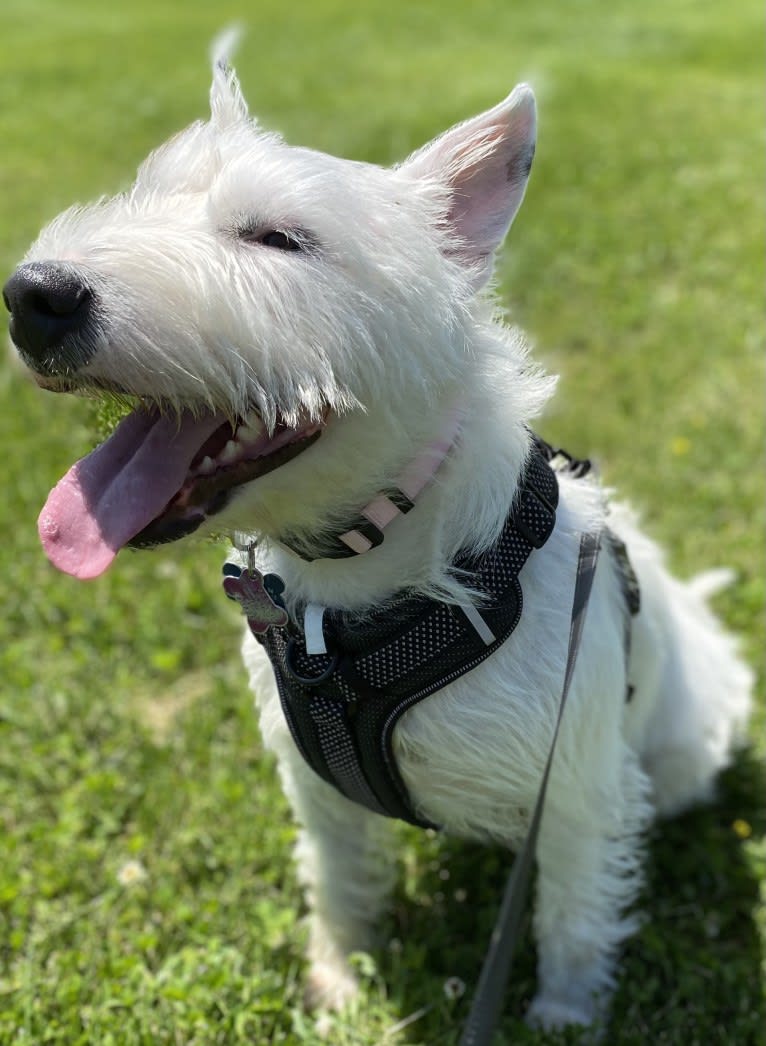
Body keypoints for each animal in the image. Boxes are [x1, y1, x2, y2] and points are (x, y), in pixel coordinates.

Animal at [2, 44, 749, 1033]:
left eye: (278, 239)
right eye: (143, 197)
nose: (32, 296)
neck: (367, 580)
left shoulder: (579, 790)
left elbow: (573, 917)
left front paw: (563, 1018)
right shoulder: (318, 792)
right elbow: (339, 883)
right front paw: (342, 986)